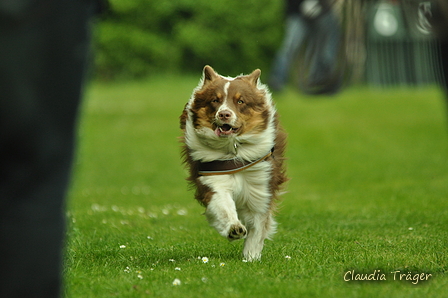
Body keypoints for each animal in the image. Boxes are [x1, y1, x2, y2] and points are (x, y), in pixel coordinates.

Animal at [179, 66, 288, 260]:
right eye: (215, 100)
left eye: (241, 101)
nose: (224, 114)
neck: (234, 149)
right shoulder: (213, 179)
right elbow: (223, 205)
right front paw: (234, 229)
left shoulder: (260, 185)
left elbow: (257, 226)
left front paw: (250, 258)